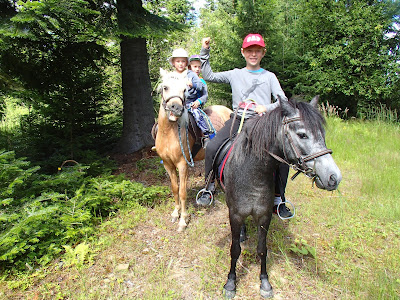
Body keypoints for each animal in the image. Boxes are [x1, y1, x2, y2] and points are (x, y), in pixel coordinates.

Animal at [155, 68, 231, 232]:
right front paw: (175, 213)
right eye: (165, 87)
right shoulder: (168, 164)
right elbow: (175, 189)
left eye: (184, 90)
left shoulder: (183, 165)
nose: (176, 108)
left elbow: (182, 192)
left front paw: (183, 220)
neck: (169, 134)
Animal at [222, 96, 340, 298]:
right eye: (302, 135)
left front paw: (265, 282)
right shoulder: (235, 215)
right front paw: (231, 283)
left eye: (322, 134)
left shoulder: (264, 216)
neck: (251, 173)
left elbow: (262, 250)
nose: (334, 177)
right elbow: (235, 249)